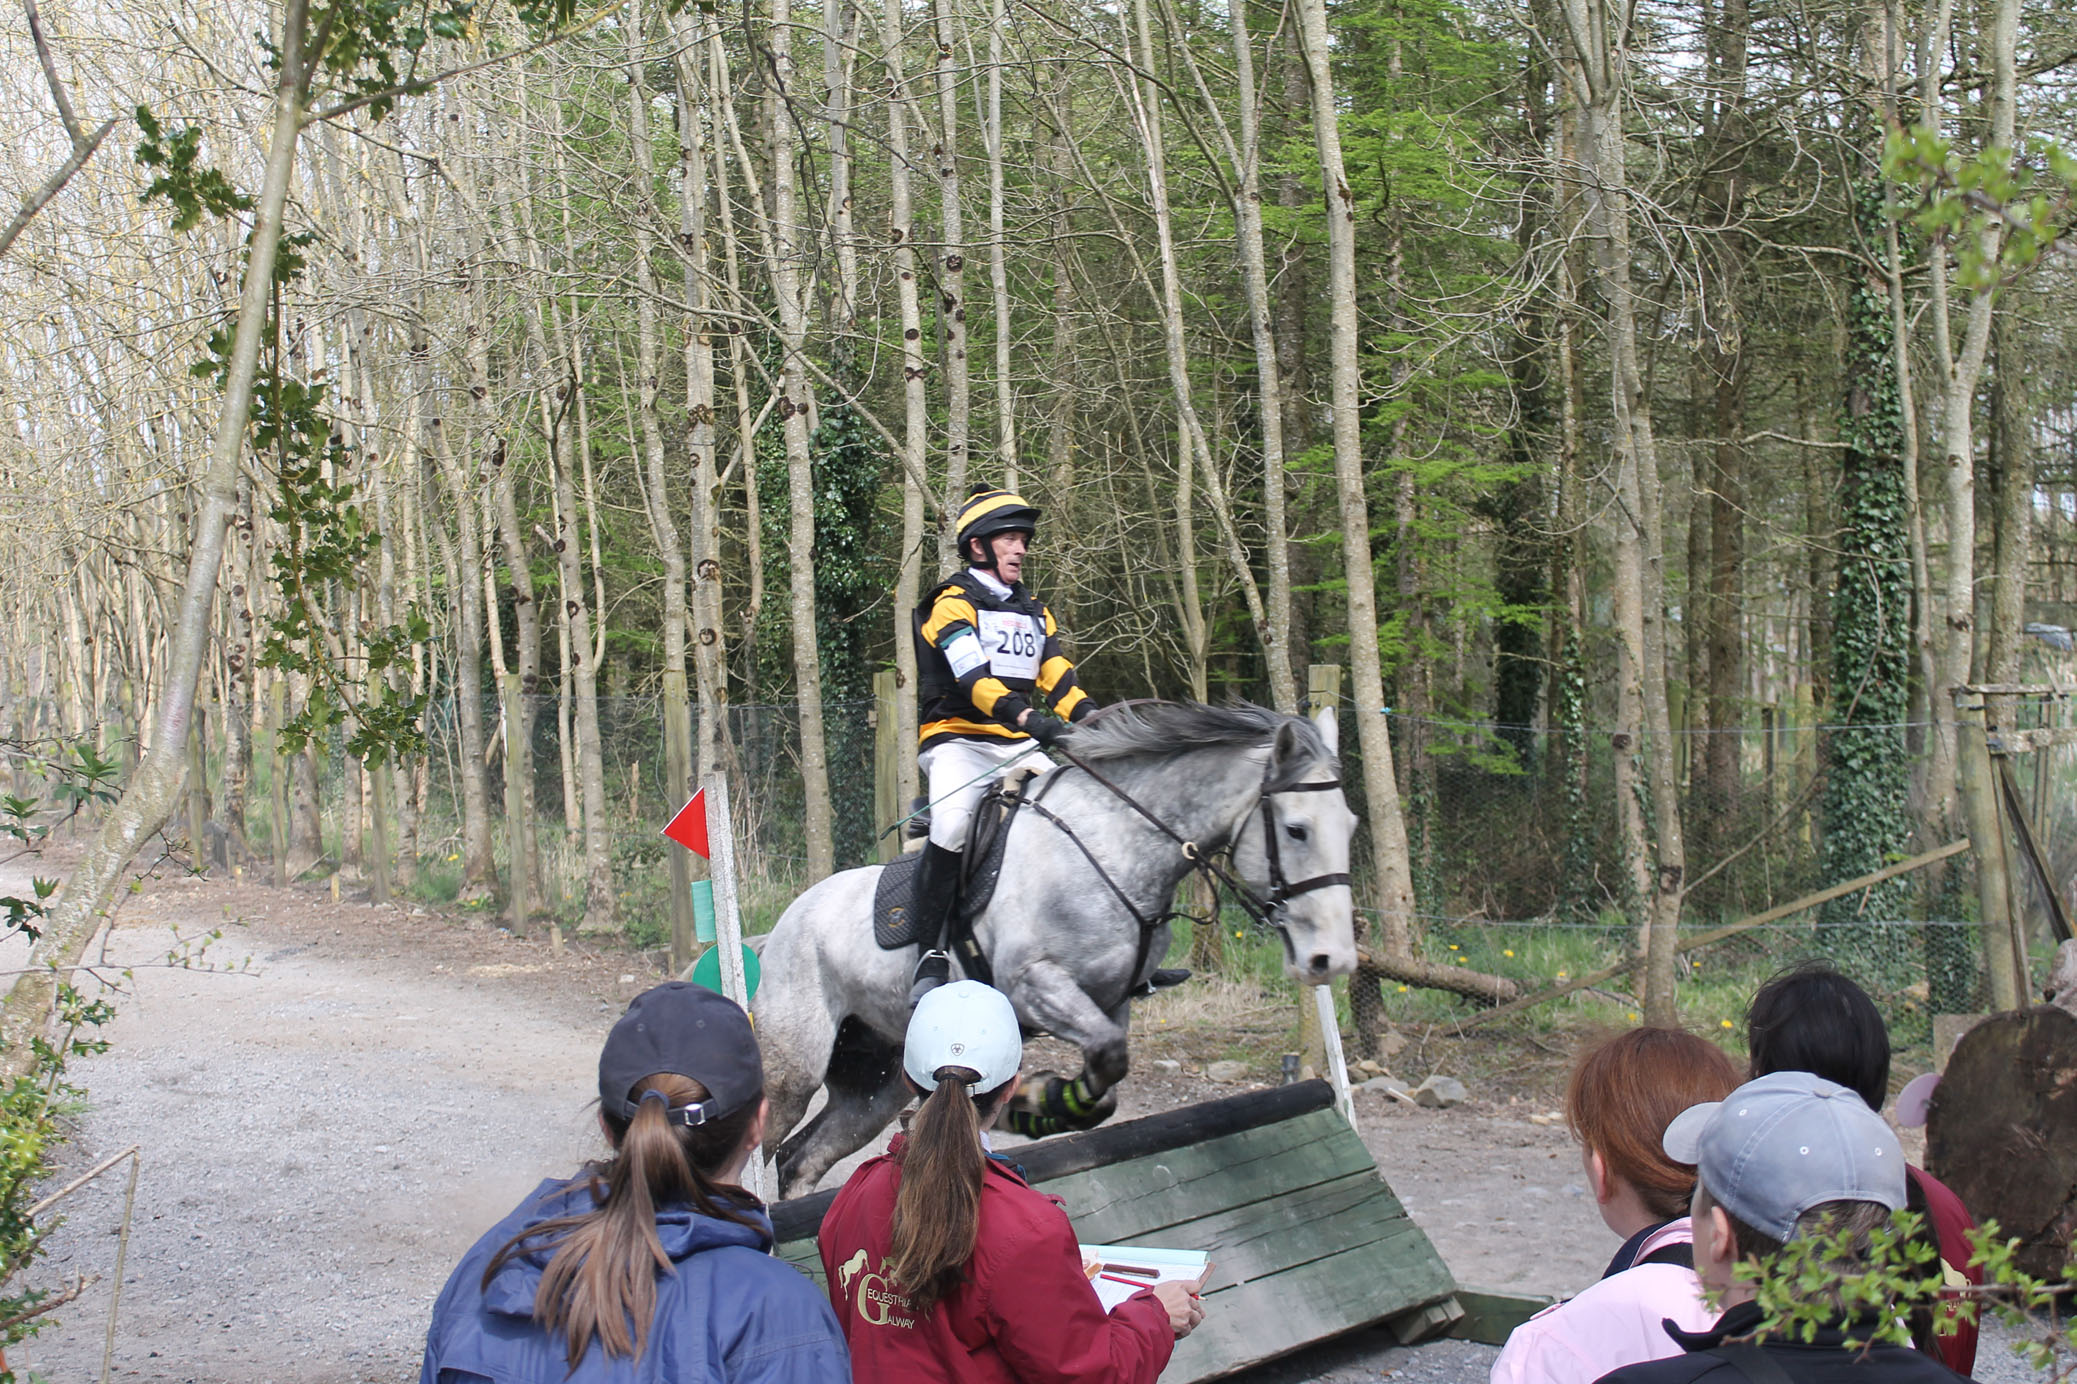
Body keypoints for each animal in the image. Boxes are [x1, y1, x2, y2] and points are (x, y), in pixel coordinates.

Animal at [750, 701, 1360, 1198]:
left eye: (1350, 826)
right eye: (1298, 830)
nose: (1331, 961)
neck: (1115, 843)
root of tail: (781, 927)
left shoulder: (1111, 1001)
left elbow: (1108, 1071)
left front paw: (1033, 1107)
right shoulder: (1033, 985)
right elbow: (1107, 1056)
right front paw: (1034, 1103)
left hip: (873, 1085)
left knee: (803, 1159)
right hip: (793, 1071)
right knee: (766, 1144)